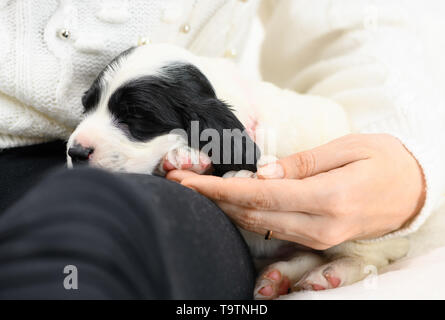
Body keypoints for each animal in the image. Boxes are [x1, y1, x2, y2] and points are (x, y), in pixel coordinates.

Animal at [67, 43, 410, 298]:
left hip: (361, 236)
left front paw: (188, 158)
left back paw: (330, 273)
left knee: (369, 258)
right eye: (87, 105)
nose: (75, 152)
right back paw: (277, 278)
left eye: (136, 117)